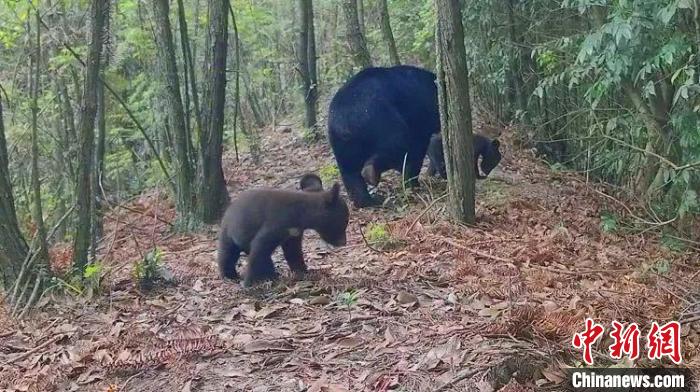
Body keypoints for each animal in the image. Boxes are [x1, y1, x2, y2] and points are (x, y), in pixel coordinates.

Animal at [217, 179, 348, 286]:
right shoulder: (275, 225)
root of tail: (228, 210)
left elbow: (293, 253)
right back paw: (230, 275)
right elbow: (259, 249)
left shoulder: (293, 234)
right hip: (228, 233)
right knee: (227, 254)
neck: (300, 213)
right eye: (343, 222)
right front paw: (249, 283)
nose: (344, 242)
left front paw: (304, 272)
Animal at [326, 66, 438, 207]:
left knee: (349, 172)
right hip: (380, 119)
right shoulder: (419, 120)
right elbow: (416, 150)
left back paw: (367, 200)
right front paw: (413, 180)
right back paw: (372, 174)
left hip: (340, 143)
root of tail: (344, 122)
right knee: (398, 144)